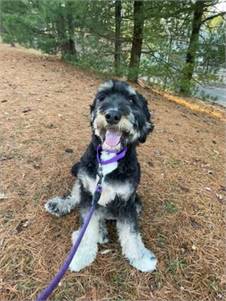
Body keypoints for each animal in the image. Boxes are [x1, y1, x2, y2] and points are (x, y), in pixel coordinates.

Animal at [44, 79, 157, 272]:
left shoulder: (127, 202)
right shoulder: (89, 193)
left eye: (132, 100)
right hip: (82, 180)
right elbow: (87, 229)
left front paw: (140, 257)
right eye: (102, 97)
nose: (112, 116)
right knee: (77, 199)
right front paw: (81, 254)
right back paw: (61, 206)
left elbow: (131, 233)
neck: (108, 158)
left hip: (136, 202)